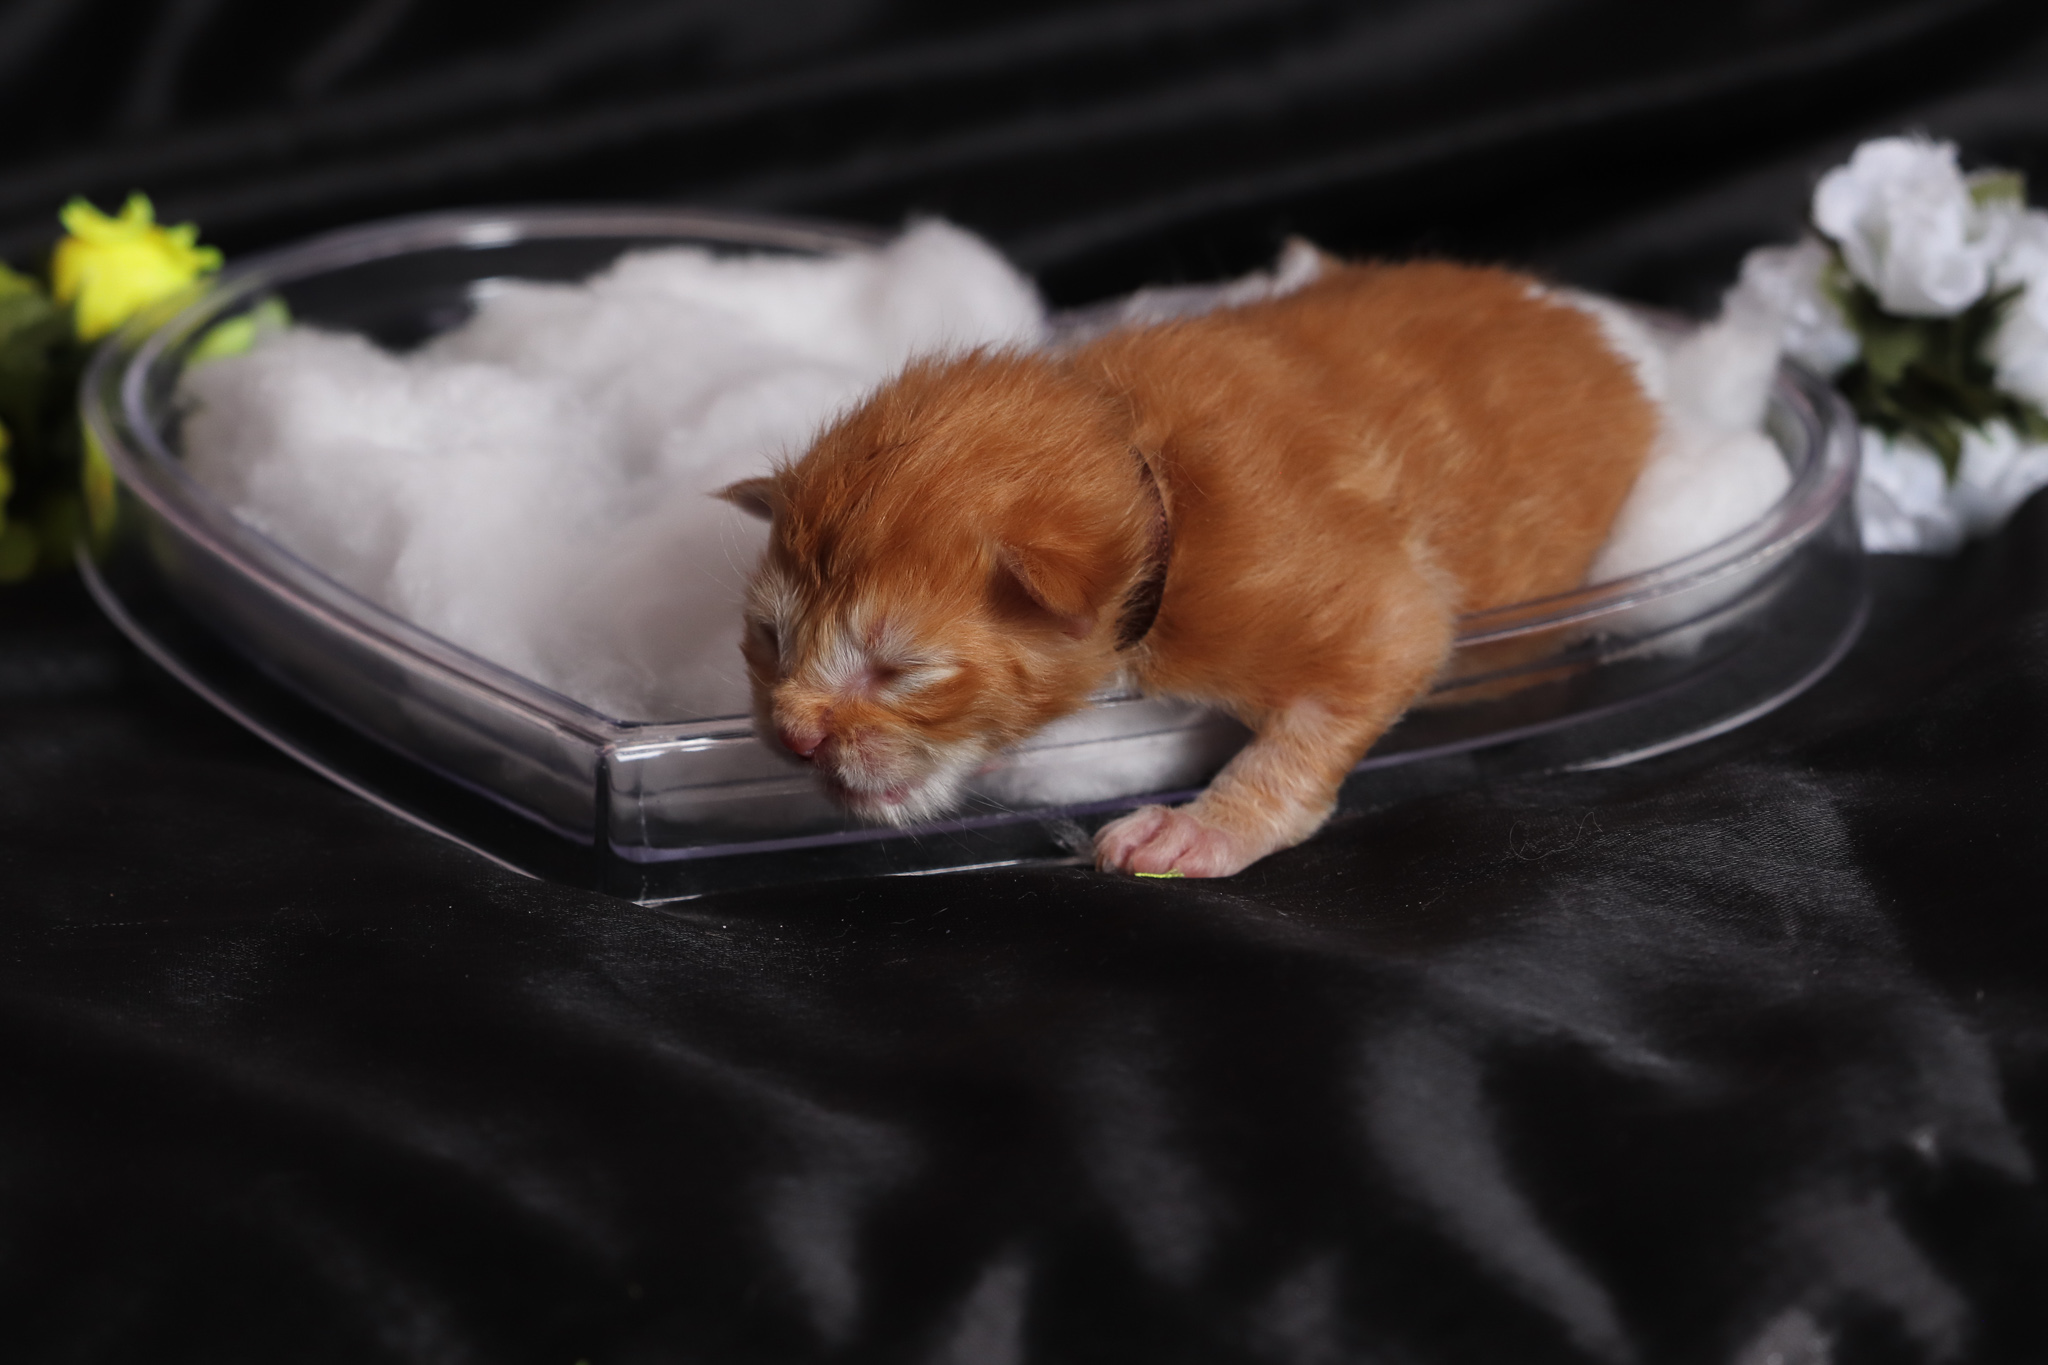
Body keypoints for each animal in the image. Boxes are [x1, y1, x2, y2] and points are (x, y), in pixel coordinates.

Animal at [720, 259, 1655, 878]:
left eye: (900, 669)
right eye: (769, 637)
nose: (795, 736)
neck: (1153, 470)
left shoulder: (1359, 608)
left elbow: (1314, 725)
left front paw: (1202, 830)